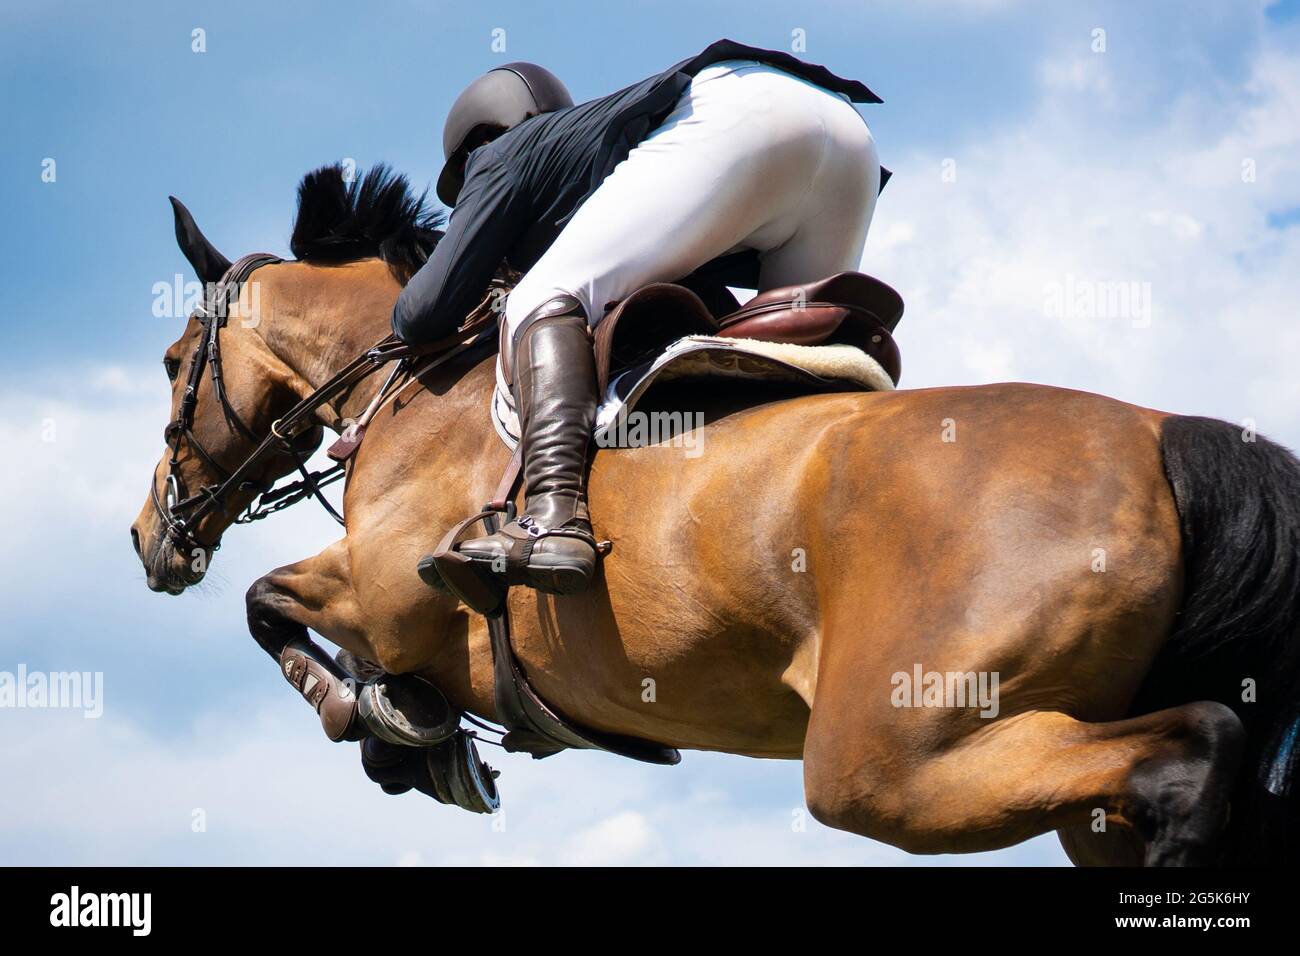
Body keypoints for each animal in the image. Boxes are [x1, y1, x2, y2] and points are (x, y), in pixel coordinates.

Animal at [129, 166, 1300, 868]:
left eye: (176, 361)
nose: (150, 537)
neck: (423, 383)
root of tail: (1162, 434)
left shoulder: (381, 590)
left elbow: (268, 602)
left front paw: (387, 725)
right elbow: (281, 610)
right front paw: (410, 730)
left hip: (890, 759)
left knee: (1195, 747)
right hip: (1051, 786)